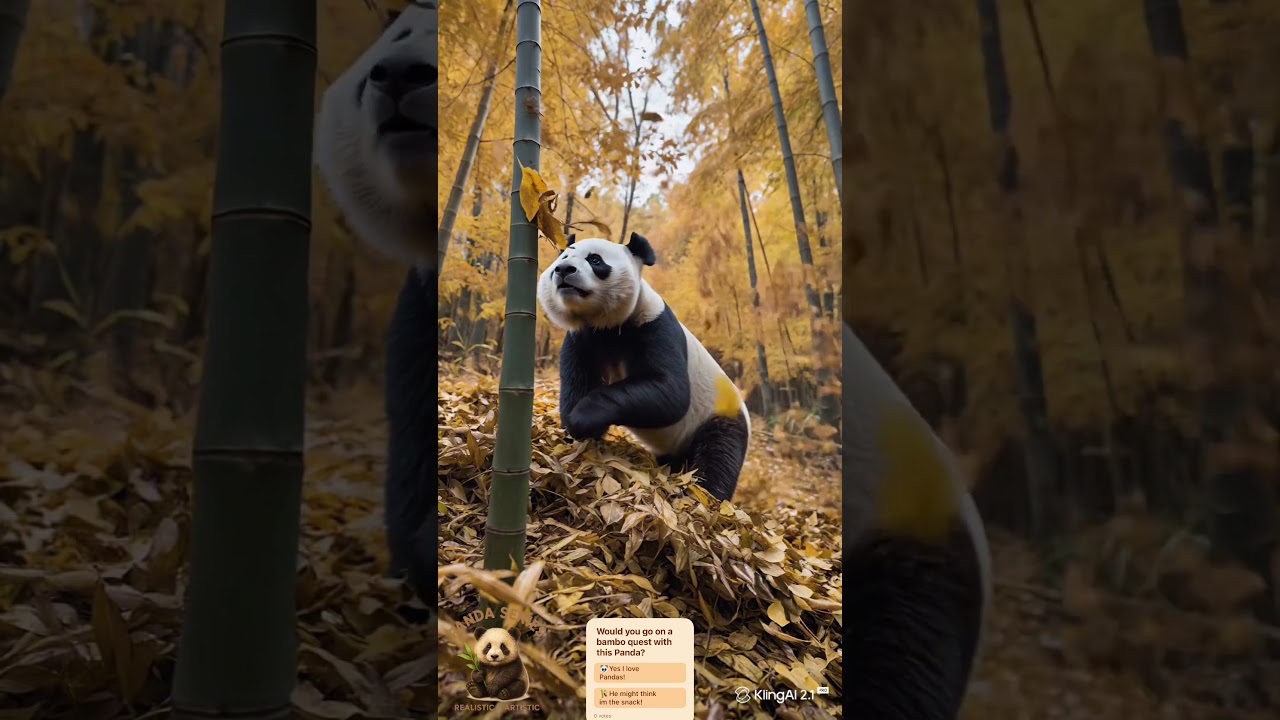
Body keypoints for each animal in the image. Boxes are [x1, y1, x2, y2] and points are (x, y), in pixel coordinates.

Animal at [536, 233, 750, 501]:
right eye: (563, 257)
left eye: (595, 260)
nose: (563, 269)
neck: (606, 326)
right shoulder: (581, 339)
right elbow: (578, 382)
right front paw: (577, 433)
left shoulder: (654, 324)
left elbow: (670, 392)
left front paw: (583, 418)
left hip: (719, 416)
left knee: (717, 459)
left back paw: (704, 496)